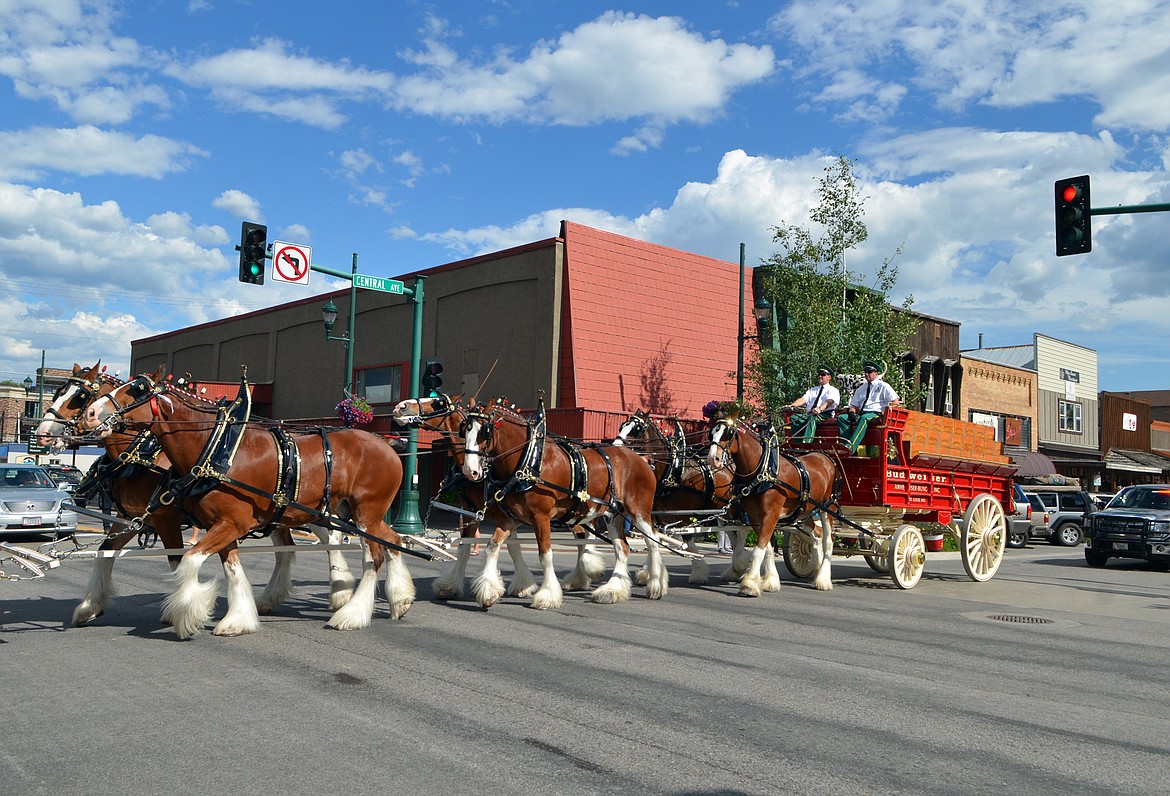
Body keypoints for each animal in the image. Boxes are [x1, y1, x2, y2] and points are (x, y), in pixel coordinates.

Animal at [36, 362, 355, 622]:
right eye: (58, 392)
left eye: (78, 397)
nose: (42, 433)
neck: (144, 452)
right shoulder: (132, 517)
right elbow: (105, 552)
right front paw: (89, 606)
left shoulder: (165, 517)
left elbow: (177, 560)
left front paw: (182, 608)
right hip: (279, 513)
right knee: (289, 550)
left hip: (308, 510)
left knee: (332, 538)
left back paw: (341, 594)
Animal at [82, 369, 411, 636]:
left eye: (136, 389)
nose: (90, 414)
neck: (217, 449)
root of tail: (388, 446)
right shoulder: (218, 523)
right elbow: (232, 569)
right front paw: (238, 619)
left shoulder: (219, 522)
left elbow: (187, 561)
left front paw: (187, 614)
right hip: (349, 514)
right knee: (392, 541)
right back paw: (399, 599)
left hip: (365, 513)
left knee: (375, 556)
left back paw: (351, 614)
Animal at [395, 395, 608, 604]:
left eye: (437, 401)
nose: (400, 407)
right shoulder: (480, 511)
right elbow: (470, 547)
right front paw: (452, 585)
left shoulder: (505, 514)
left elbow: (509, 546)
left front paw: (512, 585)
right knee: (582, 533)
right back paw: (581, 576)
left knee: (585, 534)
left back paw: (588, 571)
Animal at [463, 395, 669, 604]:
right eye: (465, 430)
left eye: (484, 431)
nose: (470, 471)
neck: (531, 461)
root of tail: (641, 460)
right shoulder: (512, 518)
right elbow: (493, 545)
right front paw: (488, 590)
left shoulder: (541, 517)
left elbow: (545, 554)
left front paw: (547, 596)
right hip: (613, 514)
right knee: (622, 548)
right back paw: (613, 590)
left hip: (638, 512)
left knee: (653, 542)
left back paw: (655, 585)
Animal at [706, 416, 837, 597]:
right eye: (711, 434)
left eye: (728, 434)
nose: (712, 459)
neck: (764, 472)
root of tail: (826, 458)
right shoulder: (754, 517)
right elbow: (766, 547)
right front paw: (770, 581)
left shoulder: (771, 515)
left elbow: (758, 549)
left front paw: (749, 584)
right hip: (803, 513)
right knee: (817, 534)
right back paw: (815, 568)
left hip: (827, 508)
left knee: (828, 540)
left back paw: (823, 579)